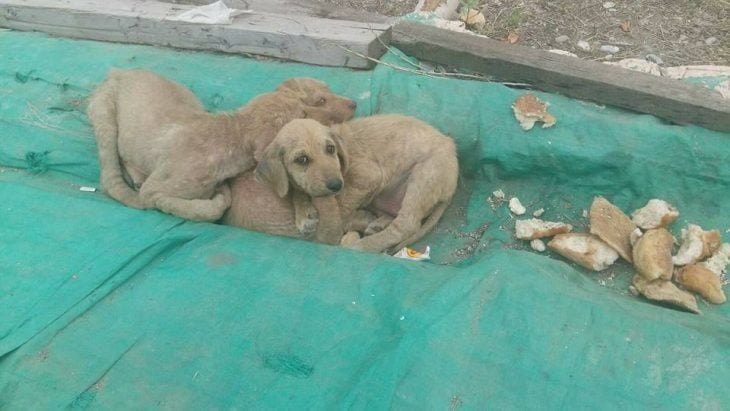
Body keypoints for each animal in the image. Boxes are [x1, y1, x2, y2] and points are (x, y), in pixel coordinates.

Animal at [87, 71, 356, 225]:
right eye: (306, 110)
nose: (354, 104)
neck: (228, 136)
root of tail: (119, 70)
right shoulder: (155, 191)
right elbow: (204, 210)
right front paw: (219, 197)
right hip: (105, 116)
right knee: (110, 177)